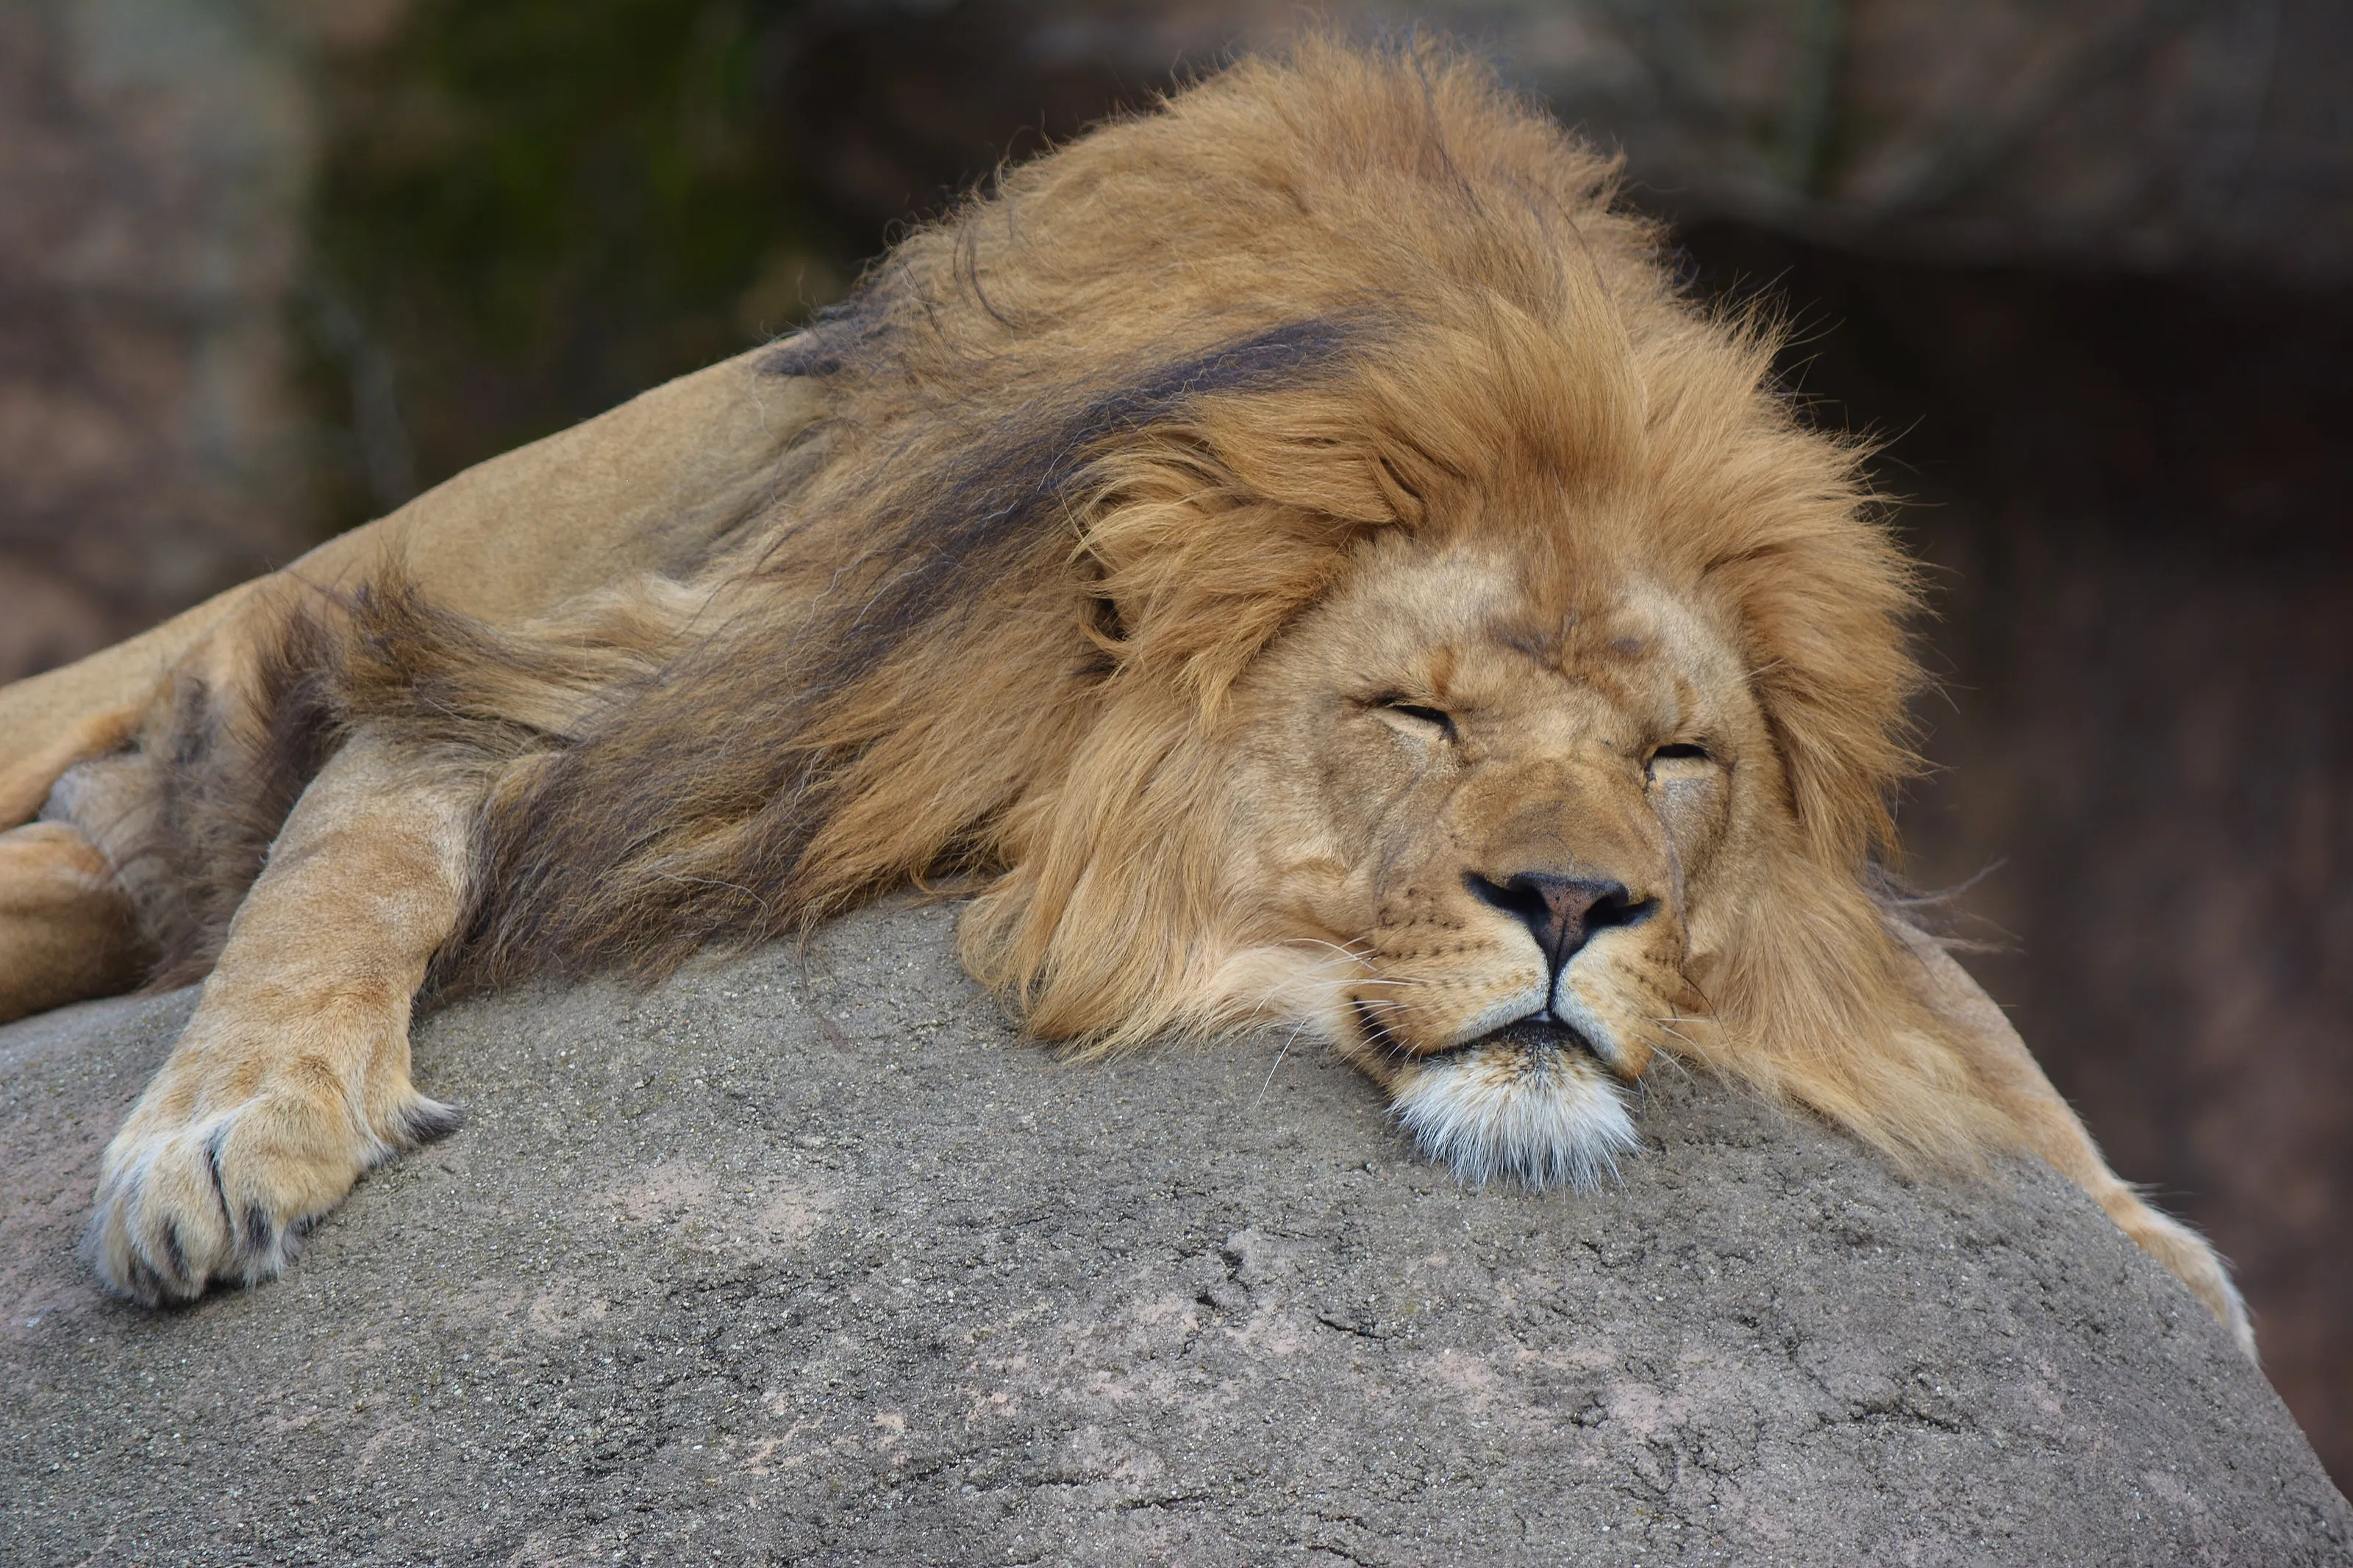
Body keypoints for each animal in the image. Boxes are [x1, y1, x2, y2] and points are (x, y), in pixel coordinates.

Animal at [0, 40, 2251, 1354]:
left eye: (1678, 758)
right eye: (1417, 715)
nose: (1574, 906)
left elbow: (1954, 1002)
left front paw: (2162, 1248)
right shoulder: (658, 681)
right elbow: (351, 854)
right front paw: (218, 1131)